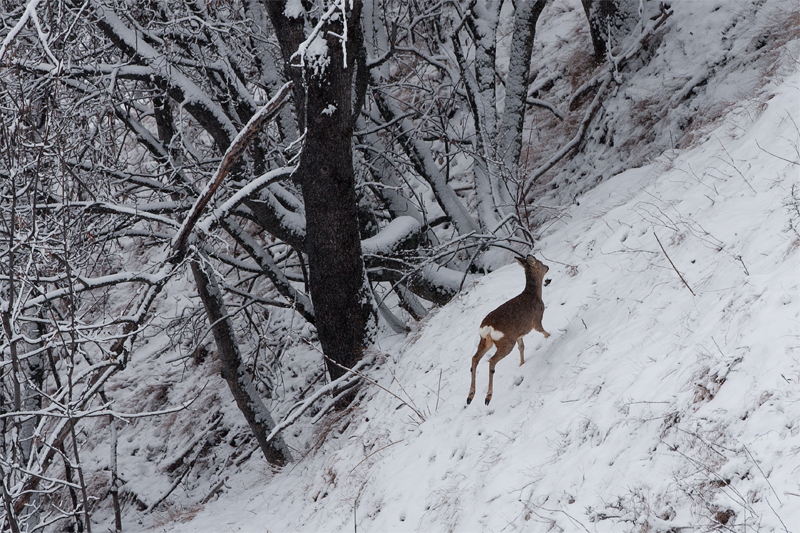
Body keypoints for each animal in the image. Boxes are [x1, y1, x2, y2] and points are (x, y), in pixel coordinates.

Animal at [468, 254, 552, 404]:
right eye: (540, 262)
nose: (547, 266)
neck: (535, 294)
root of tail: (488, 327)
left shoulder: (519, 334)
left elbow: (522, 347)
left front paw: (522, 364)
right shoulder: (536, 320)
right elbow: (544, 332)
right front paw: (552, 336)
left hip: (485, 340)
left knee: (474, 358)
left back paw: (470, 395)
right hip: (505, 342)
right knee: (491, 361)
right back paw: (488, 397)